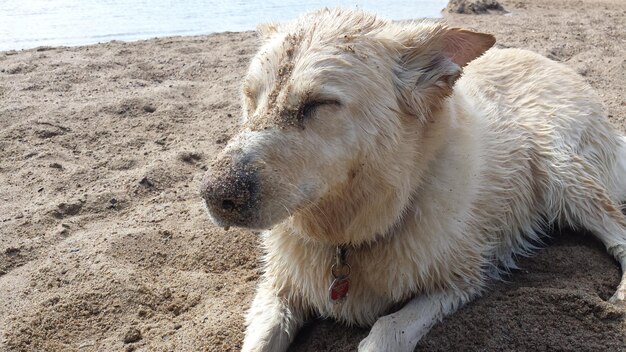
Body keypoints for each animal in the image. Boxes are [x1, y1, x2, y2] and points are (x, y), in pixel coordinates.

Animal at [199, 8, 624, 352]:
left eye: (319, 104)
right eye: (250, 96)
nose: (214, 195)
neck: (346, 239)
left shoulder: (459, 281)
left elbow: (387, 330)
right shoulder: (278, 289)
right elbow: (260, 340)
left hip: (559, 169)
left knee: (618, 230)